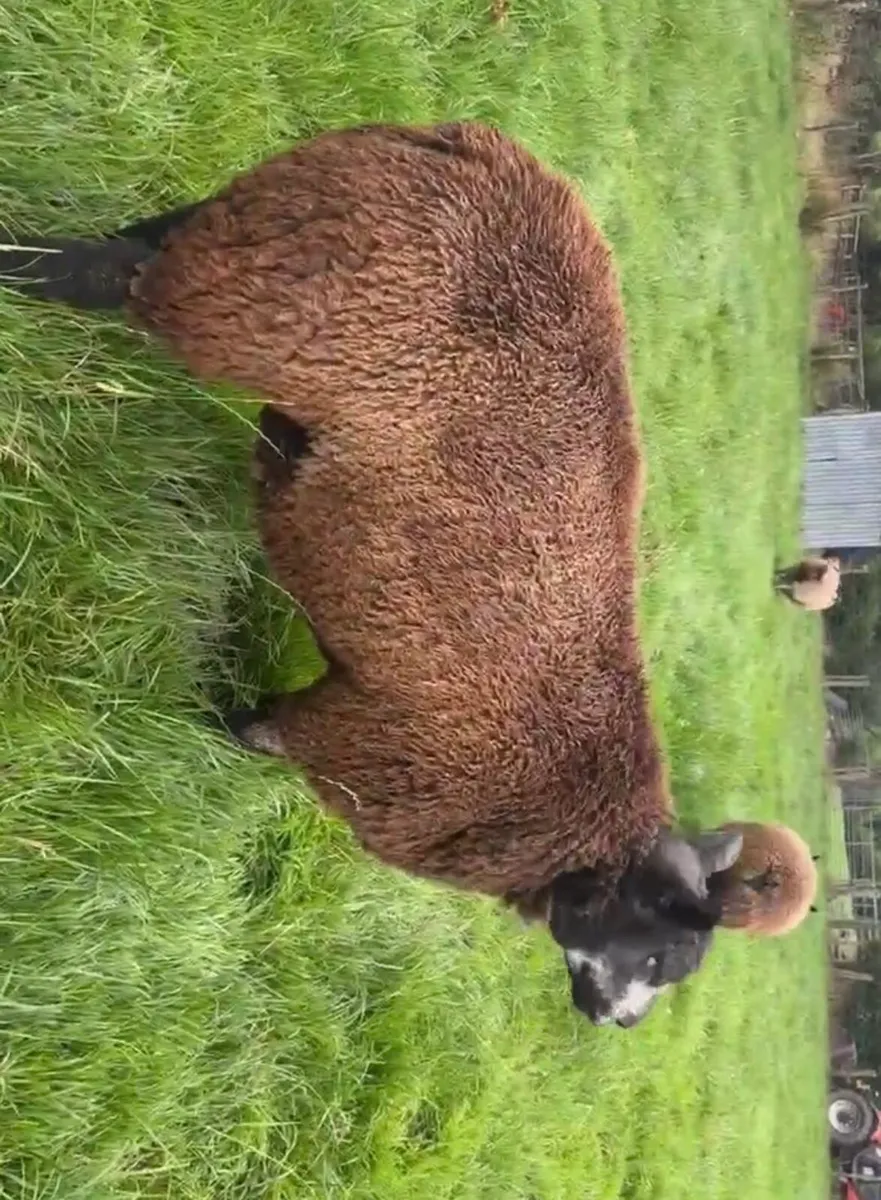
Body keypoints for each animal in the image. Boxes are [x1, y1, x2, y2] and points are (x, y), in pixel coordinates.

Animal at [0, 121, 819, 1026]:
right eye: (653, 946)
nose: (615, 1021)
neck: (568, 805)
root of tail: (465, 150)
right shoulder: (353, 743)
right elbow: (245, 730)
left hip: (251, 228)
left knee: (135, 243)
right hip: (248, 302)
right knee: (106, 274)